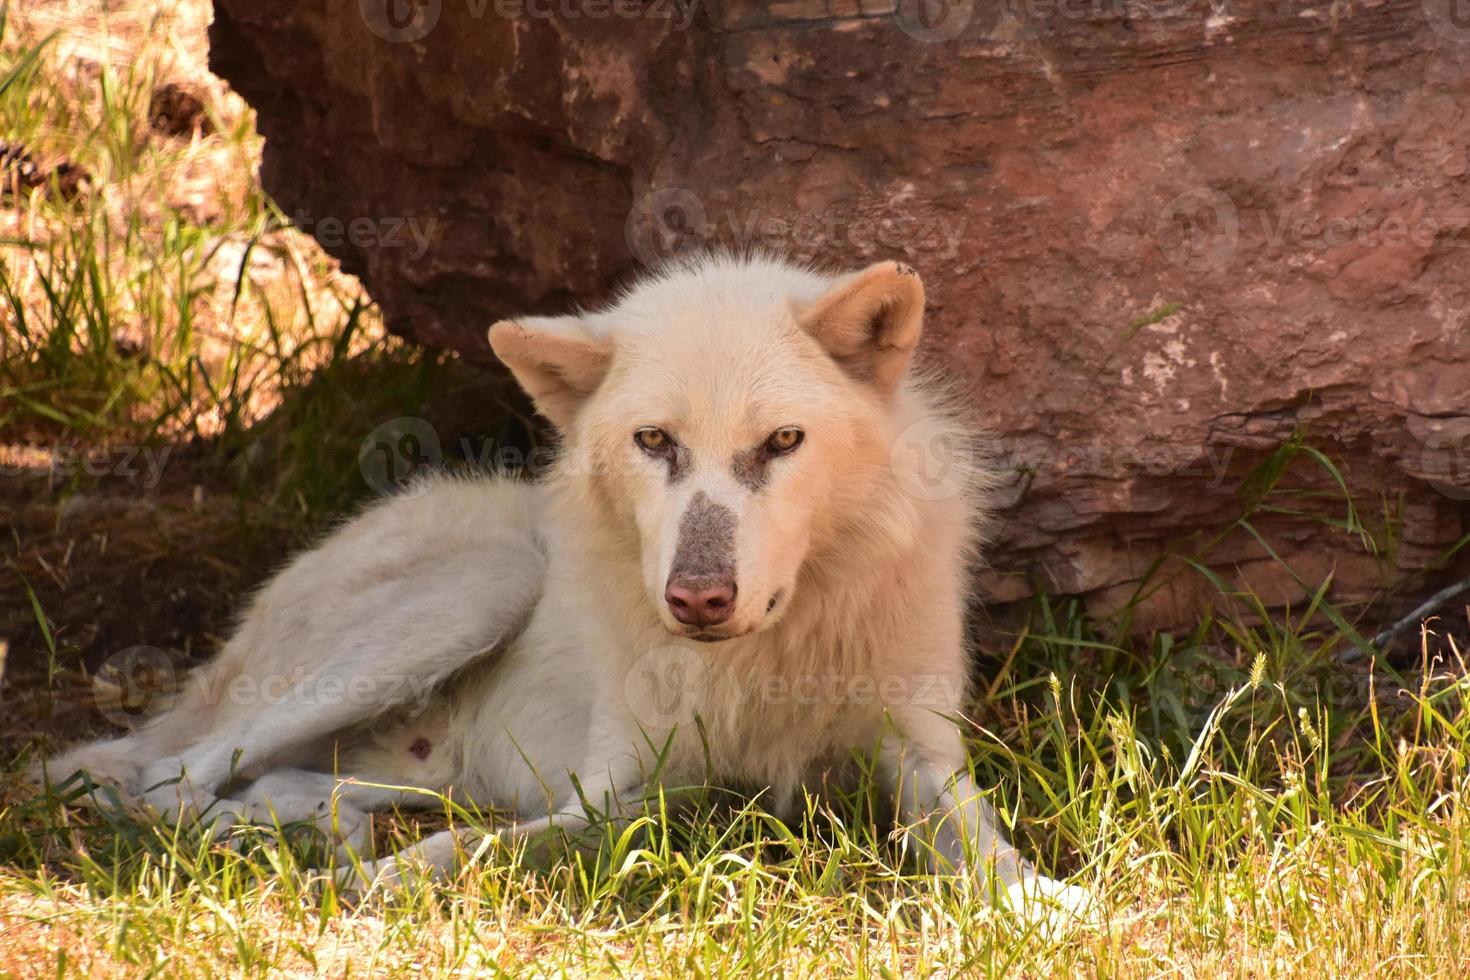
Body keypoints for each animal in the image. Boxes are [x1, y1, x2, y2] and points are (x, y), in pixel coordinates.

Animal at [40, 255, 1093, 922]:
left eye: (783, 442)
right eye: (655, 441)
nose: (697, 599)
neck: (768, 658)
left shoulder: (922, 758)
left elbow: (982, 841)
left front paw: (1042, 903)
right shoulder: (626, 787)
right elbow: (490, 849)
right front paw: (387, 886)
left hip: (419, 754)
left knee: (274, 785)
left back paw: (324, 831)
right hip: (480, 590)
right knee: (163, 779)